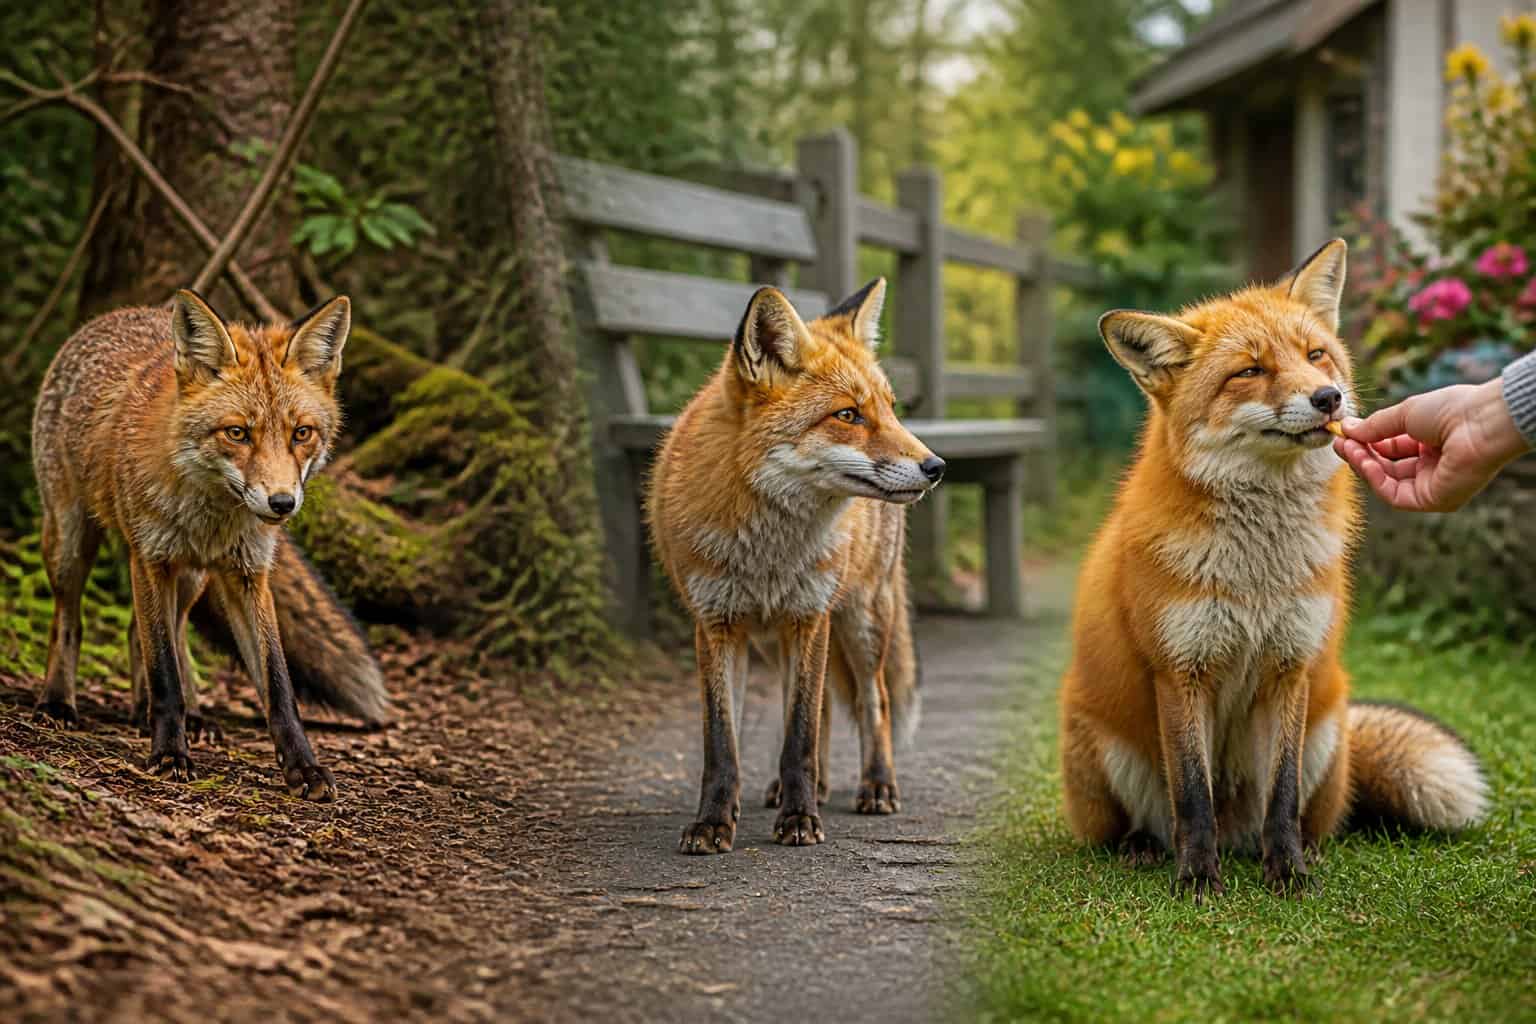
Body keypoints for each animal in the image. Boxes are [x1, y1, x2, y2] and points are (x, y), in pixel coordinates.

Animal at [31, 289, 390, 800]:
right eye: (237, 432)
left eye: (301, 433)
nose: (282, 503)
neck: (212, 519)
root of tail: (116, 314)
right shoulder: (150, 559)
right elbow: (164, 673)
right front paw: (169, 754)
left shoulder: (249, 575)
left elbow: (278, 685)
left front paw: (303, 767)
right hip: (71, 540)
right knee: (71, 621)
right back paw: (59, 702)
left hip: (193, 579)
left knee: (156, 633)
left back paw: (174, 714)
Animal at [649, 278, 944, 854]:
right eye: (848, 415)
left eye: (891, 408)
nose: (937, 466)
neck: (768, 553)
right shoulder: (716, 625)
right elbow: (724, 743)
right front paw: (714, 822)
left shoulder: (810, 616)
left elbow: (800, 735)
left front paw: (800, 819)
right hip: (776, 640)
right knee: (825, 705)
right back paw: (810, 786)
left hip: (860, 618)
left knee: (872, 700)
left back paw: (876, 785)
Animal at [1060, 239, 1488, 898]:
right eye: (1250, 371)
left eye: (1315, 355)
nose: (1327, 398)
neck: (1257, 573)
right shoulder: (1180, 670)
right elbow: (1193, 796)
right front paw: (1198, 880)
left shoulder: (1291, 665)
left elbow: (1281, 796)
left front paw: (1287, 873)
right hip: (1107, 747)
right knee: (1144, 823)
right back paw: (1144, 848)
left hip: (1326, 729)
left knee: (1299, 814)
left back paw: (1303, 849)